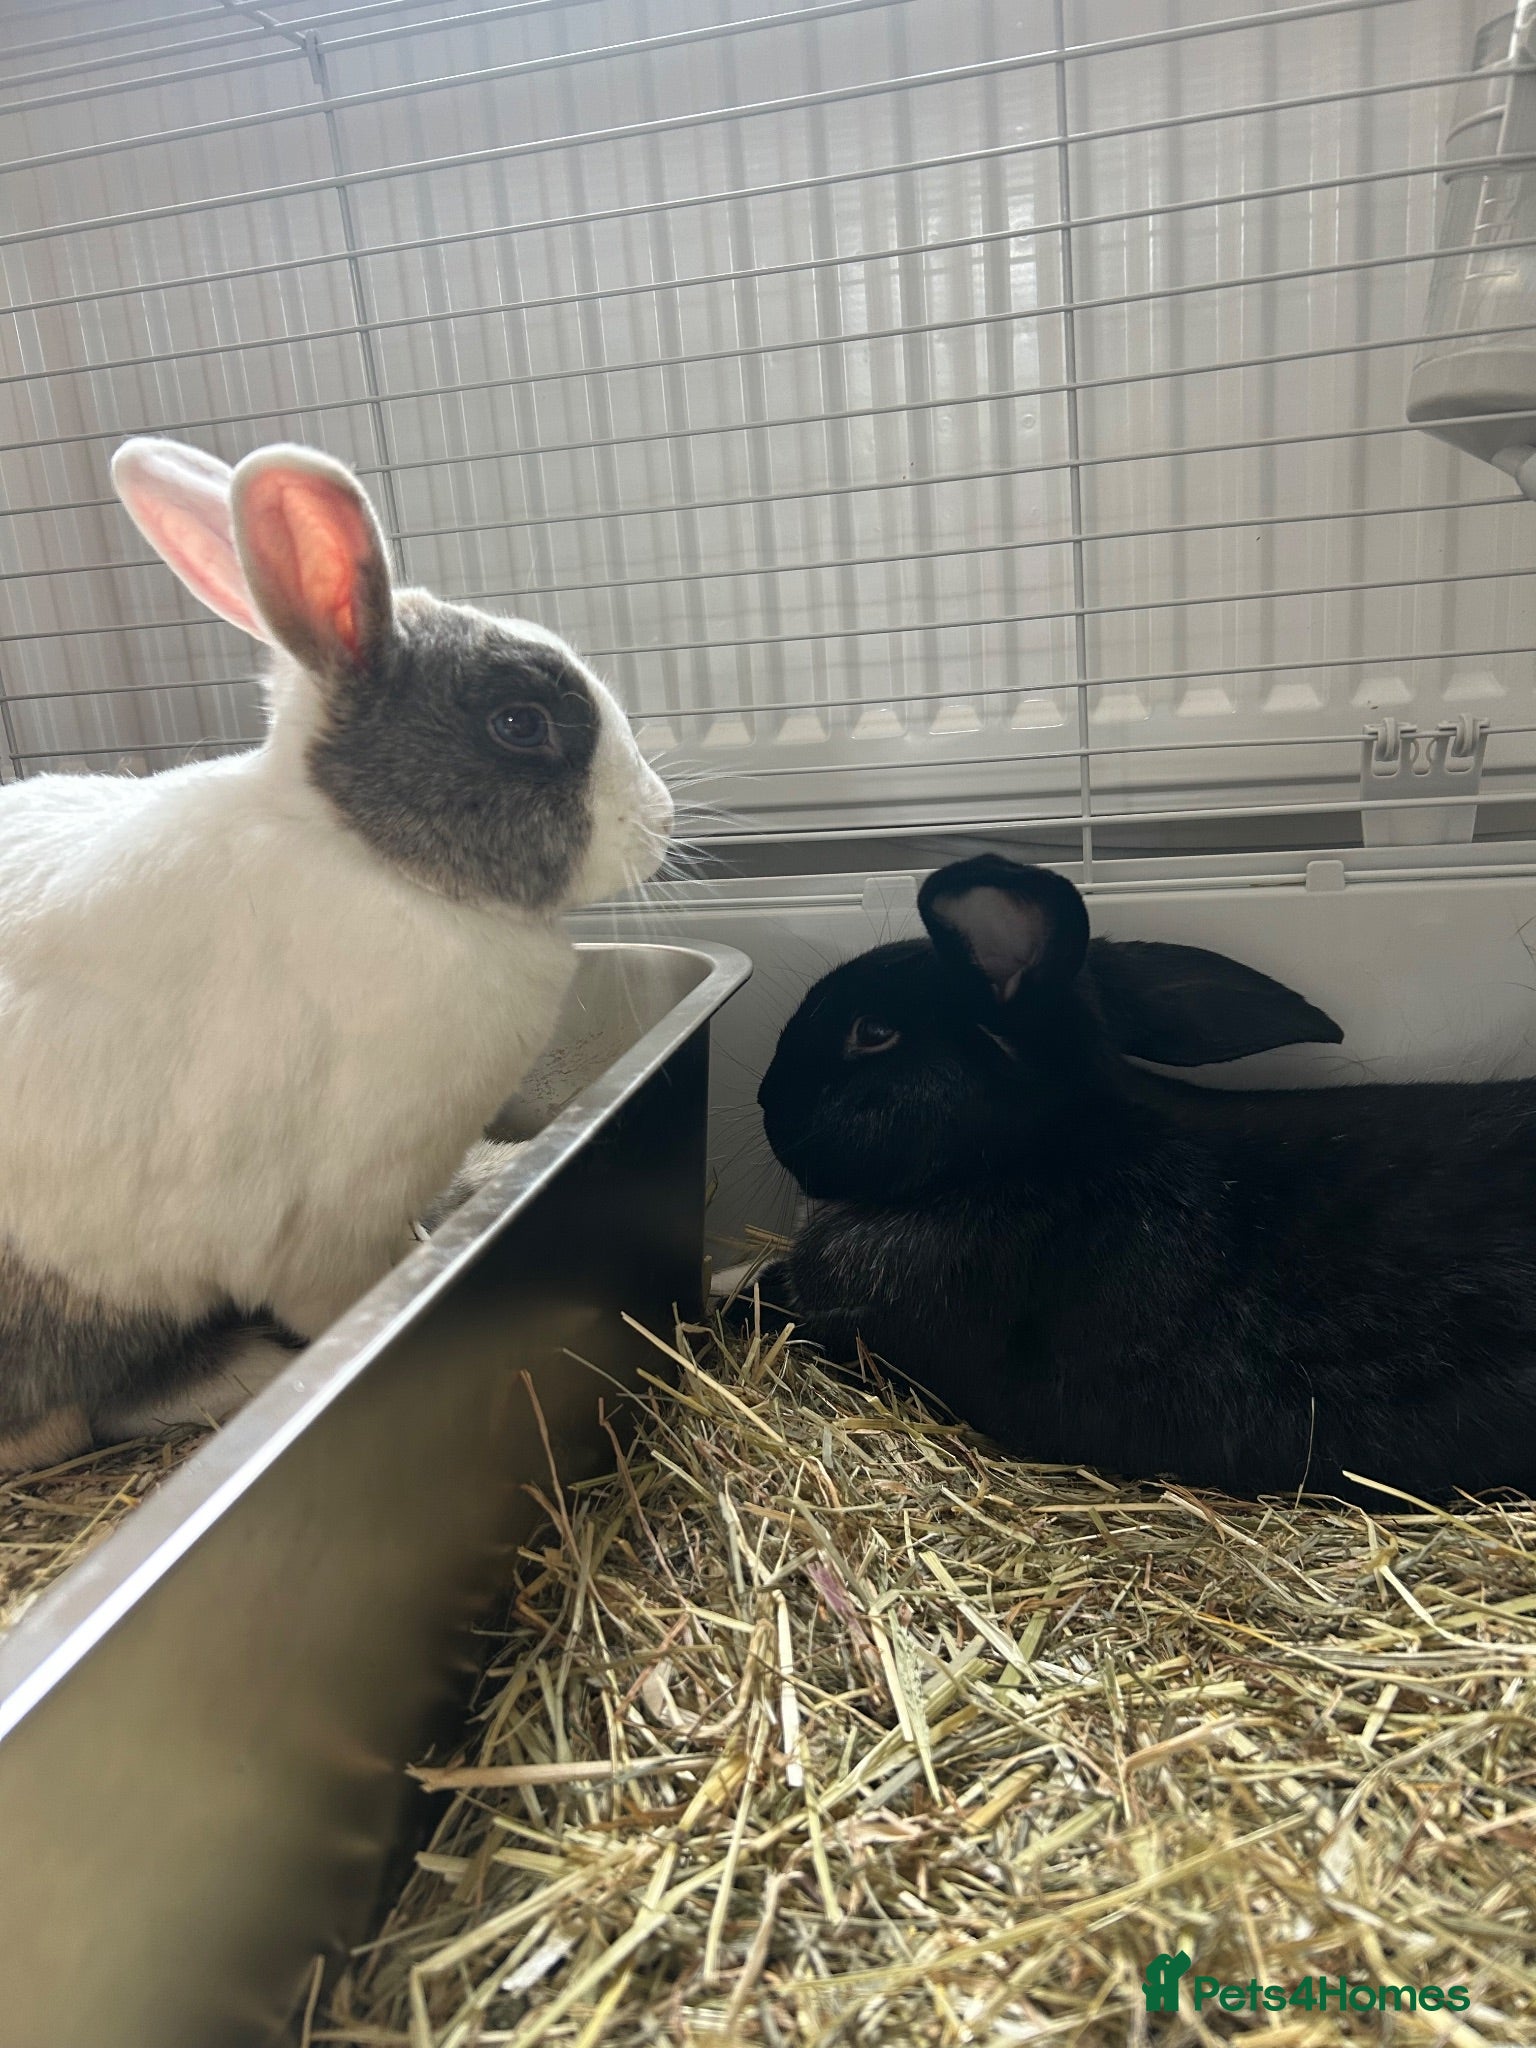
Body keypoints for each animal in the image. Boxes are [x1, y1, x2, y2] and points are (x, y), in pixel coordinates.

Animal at [0, 437, 673, 1471]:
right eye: (520, 724)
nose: (662, 821)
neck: (371, 858)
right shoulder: (325, 1228)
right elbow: (342, 1292)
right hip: (82, 1294)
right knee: (82, 1412)